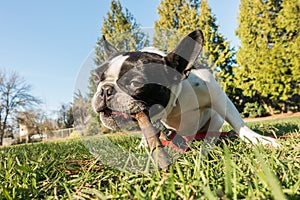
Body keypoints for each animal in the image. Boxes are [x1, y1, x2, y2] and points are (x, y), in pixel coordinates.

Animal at [92, 30, 282, 150]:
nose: (105, 90)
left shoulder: (217, 95)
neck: (175, 103)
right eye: (96, 78)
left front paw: (259, 140)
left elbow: (238, 123)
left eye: (135, 83)